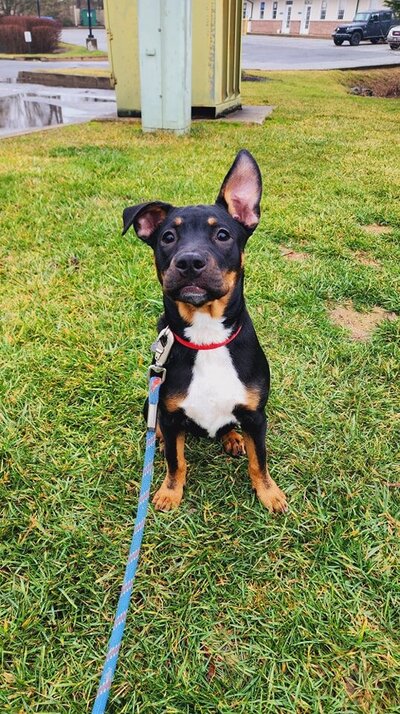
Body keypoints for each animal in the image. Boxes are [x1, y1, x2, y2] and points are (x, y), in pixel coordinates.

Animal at [122, 152, 288, 512]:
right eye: (168, 237)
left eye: (223, 235)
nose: (189, 262)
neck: (207, 338)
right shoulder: (170, 416)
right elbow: (176, 461)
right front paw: (169, 492)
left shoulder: (256, 416)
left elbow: (260, 460)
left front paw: (269, 493)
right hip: (150, 404)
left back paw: (233, 438)